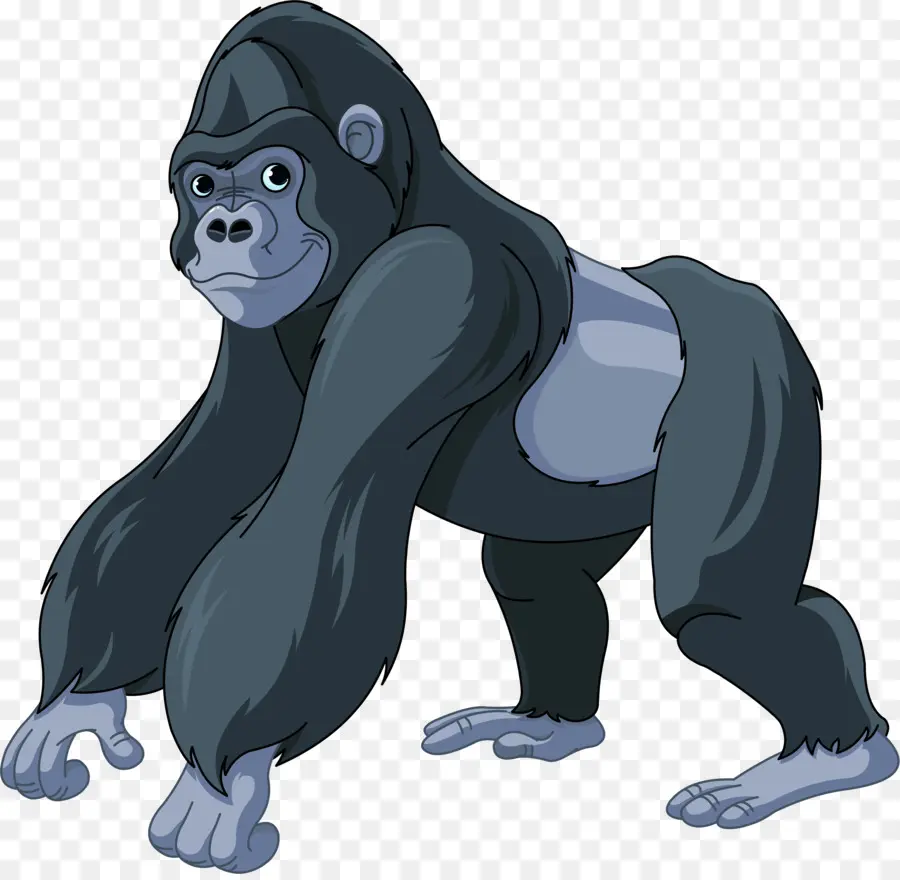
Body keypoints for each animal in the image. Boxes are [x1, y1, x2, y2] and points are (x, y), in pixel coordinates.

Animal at [2, 3, 895, 874]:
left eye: (276, 175)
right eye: (200, 182)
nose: (223, 224)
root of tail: (720, 288)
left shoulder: (432, 285)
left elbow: (311, 518)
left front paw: (221, 780)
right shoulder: (255, 330)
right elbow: (201, 477)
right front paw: (75, 702)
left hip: (754, 364)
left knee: (721, 611)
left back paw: (830, 760)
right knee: (536, 576)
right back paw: (550, 723)